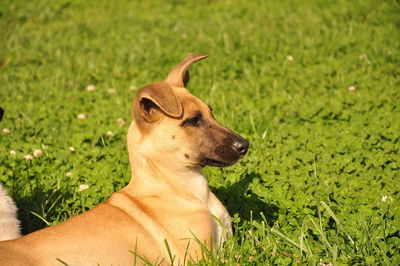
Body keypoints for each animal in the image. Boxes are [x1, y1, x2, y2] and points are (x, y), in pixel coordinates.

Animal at [0, 53, 248, 264]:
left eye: (211, 112)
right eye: (193, 120)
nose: (244, 145)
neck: (186, 190)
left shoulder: (226, 245)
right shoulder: (197, 256)